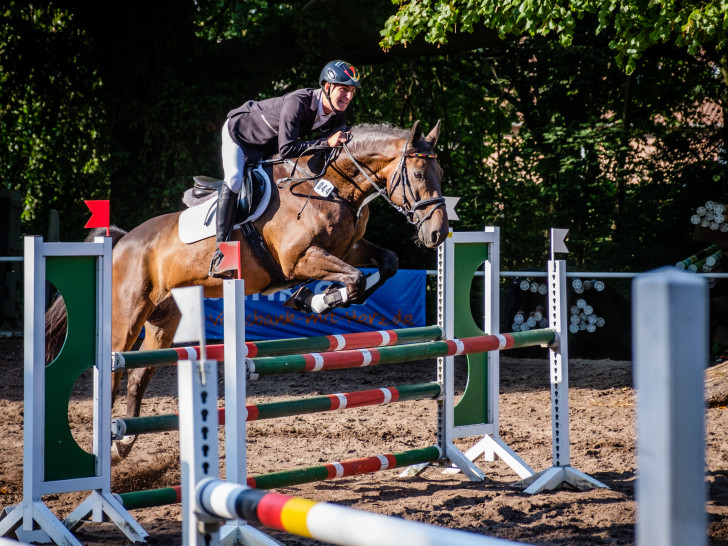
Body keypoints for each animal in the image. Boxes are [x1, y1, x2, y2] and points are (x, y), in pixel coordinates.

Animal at [47, 120, 450, 460]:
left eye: (441, 175)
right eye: (417, 174)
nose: (438, 233)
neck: (333, 187)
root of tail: (122, 242)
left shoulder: (348, 249)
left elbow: (386, 264)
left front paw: (310, 299)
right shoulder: (299, 259)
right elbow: (353, 279)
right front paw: (316, 299)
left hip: (164, 320)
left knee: (138, 376)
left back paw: (126, 441)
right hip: (127, 318)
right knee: (113, 373)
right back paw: (108, 444)